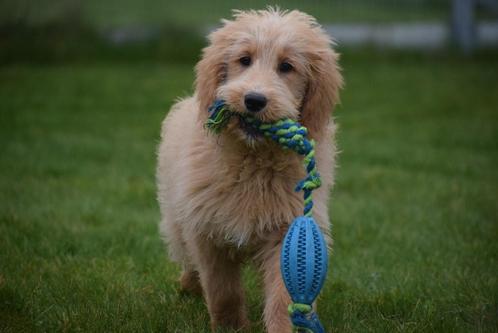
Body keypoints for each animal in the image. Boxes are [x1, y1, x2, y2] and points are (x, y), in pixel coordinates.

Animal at [157, 7, 342, 332]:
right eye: (244, 59)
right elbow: (222, 288)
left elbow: (283, 294)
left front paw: (281, 327)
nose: (254, 100)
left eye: (287, 66)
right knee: (186, 256)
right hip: (176, 217)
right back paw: (188, 285)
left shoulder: (287, 228)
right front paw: (230, 325)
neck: (253, 158)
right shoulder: (207, 229)